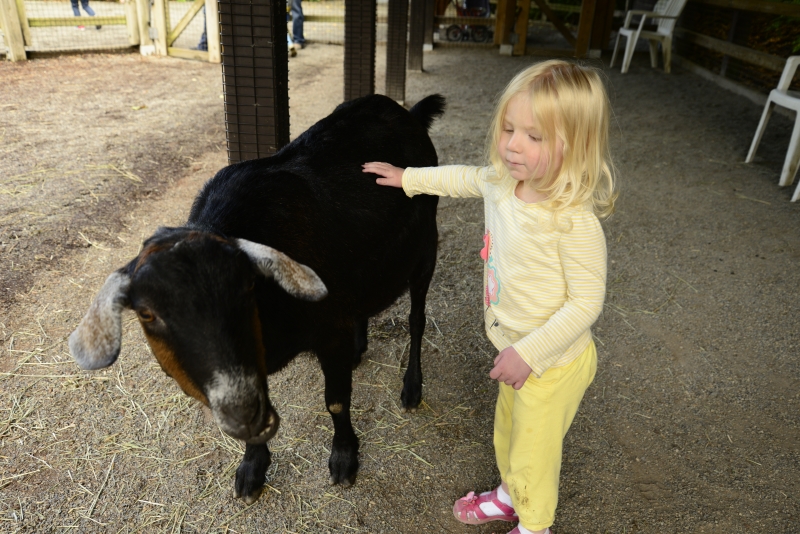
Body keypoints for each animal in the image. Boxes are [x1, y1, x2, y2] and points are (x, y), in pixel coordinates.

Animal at [68, 94, 445, 504]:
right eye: (147, 314)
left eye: (248, 286)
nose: (239, 412)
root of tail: (406, 112)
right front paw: (252, 467)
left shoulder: (328, 333)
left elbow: (336, 400)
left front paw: (344, 457)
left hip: (426, 248)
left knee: (416, 320)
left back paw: (412, 387)